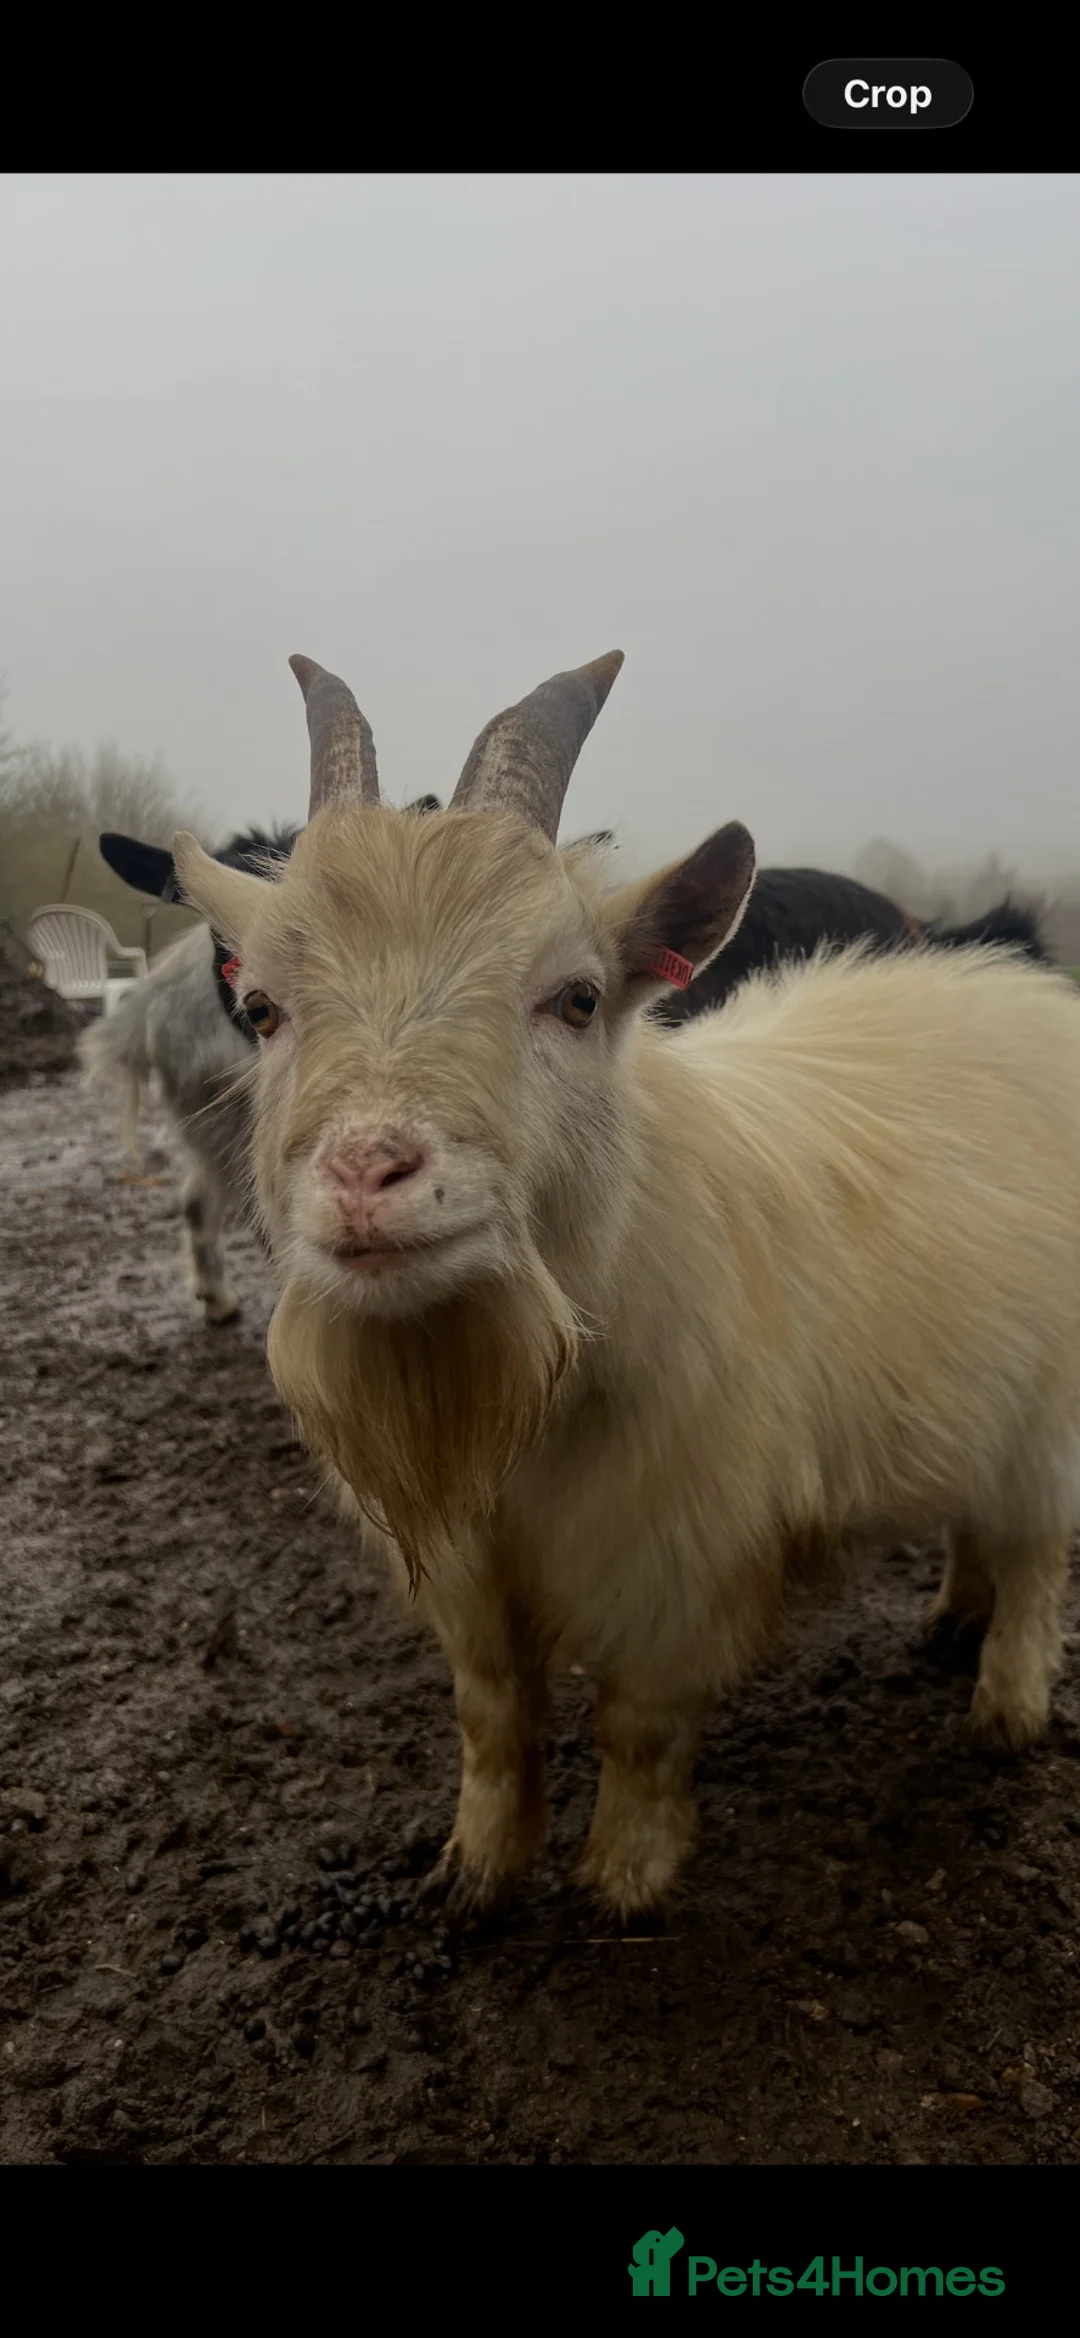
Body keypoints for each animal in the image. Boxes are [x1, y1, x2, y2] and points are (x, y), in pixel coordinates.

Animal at [172, 652, 1080, 1923]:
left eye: (577, 997)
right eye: (260, 1008)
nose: (366, 1175)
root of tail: (1016, 983)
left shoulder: (676, 1550)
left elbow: (638, 1724)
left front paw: (623, 1877)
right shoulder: (471, 1575)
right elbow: (493, 1716)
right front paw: (477, 1868)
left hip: (1048, 1407)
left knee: (1039, 1545)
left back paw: (1005, 1702)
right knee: (978, 1516)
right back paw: (953, 1615)